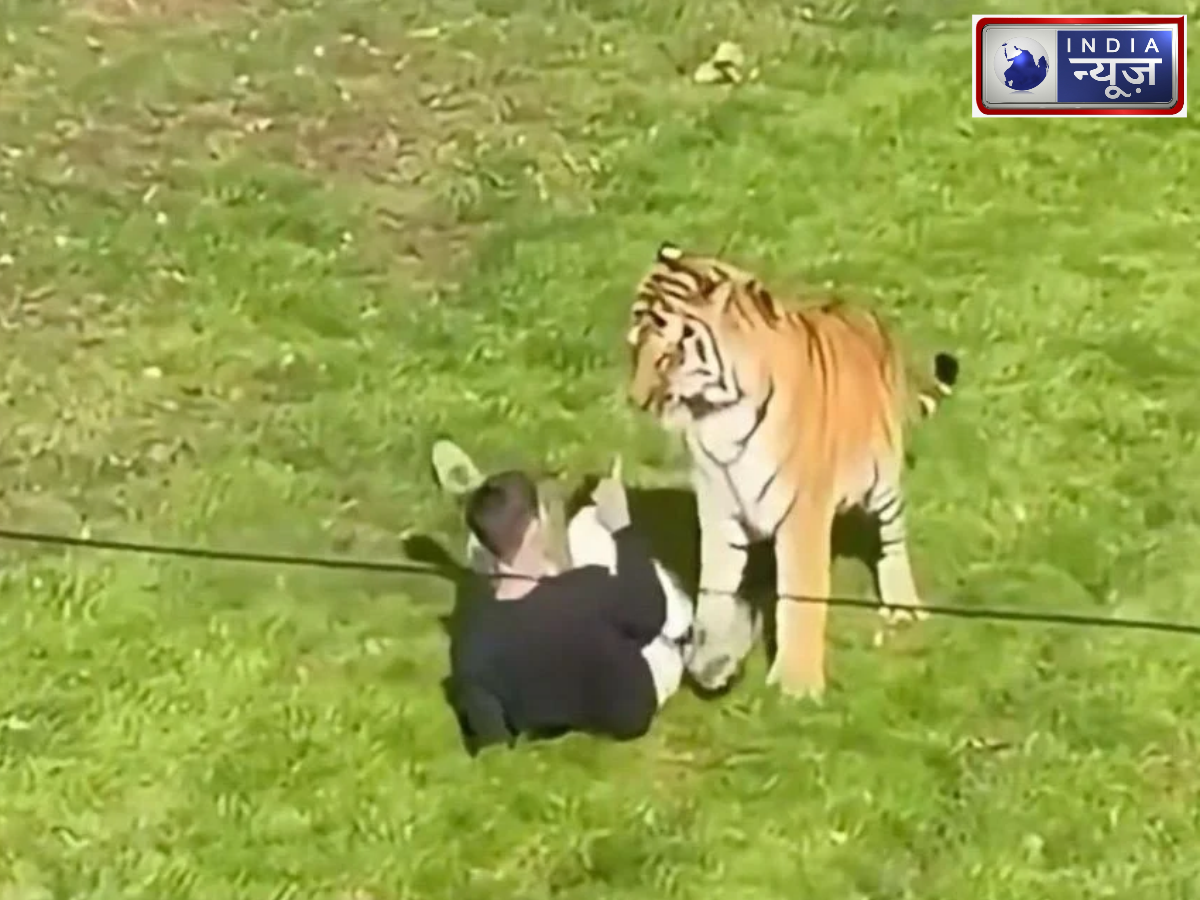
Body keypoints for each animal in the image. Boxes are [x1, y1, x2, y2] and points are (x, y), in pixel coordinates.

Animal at [625, 242, 960, 699]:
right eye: (633, 346)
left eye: (669, 354)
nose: (636, 399)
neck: (717, 416)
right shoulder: (718, 509)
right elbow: (714, 591)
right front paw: (712, 664)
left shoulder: (803, 512)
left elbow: (800, 597)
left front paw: (796, 686)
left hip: (883, 481)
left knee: (893, 540)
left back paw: (903, 605)